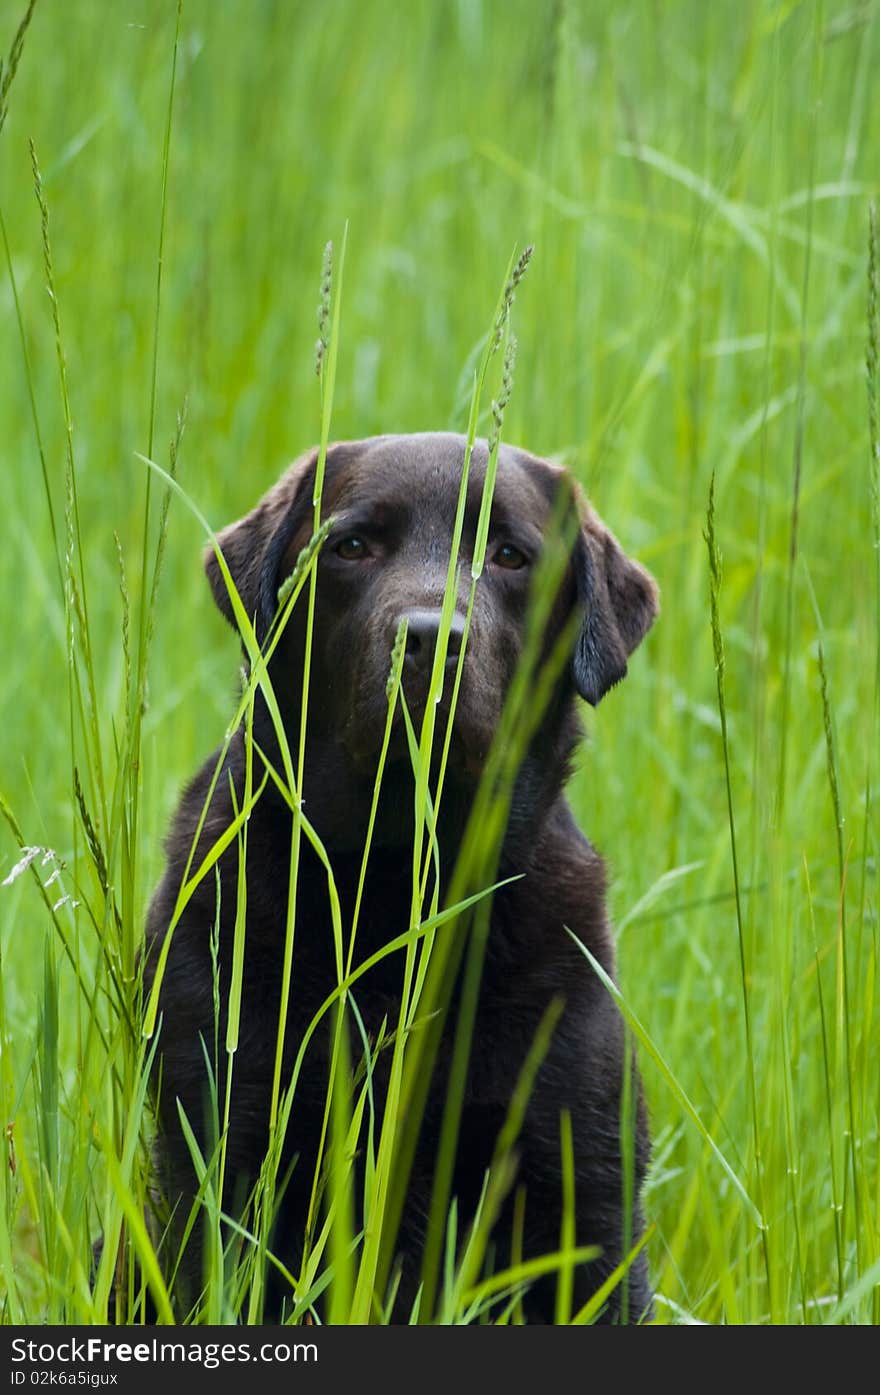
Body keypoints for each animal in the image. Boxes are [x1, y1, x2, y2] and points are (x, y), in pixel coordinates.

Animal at [142, 432, 655, 1316]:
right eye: (352, 546)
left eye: (510, 555)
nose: (431, 637)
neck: (397, 881)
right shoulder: (218, 1145)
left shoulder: (582, 1181)